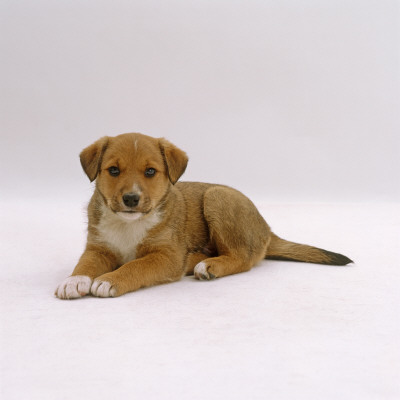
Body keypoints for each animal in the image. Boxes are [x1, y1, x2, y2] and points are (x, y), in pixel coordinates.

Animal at [54, 133, 352, 298]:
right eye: (113, 170)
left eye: (150, 172)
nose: (131, 199)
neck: (130, 225)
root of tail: (266, 229)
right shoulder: (98, 248)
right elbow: (84, 265)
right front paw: (73, 281)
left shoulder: (167, 255)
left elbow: (135, 266)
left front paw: (109, 280)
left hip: (217, 197)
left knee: (243, 257)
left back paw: (208, 266)